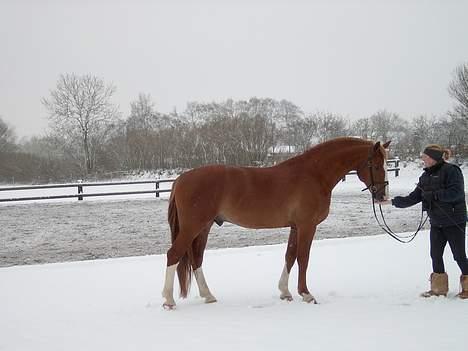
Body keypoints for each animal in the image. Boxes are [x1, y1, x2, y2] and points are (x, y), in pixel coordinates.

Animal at [163, 138, 390, 308]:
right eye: (377, 165)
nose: (383, 197)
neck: (314, 174)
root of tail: (180, 179)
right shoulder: (307, 226)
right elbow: (303, 258)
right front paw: (306, 294)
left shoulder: (295, 226)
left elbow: (290, 256)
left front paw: (285, 292)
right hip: (193, 226)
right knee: (174, 254)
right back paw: (169, 300)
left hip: (204, 227)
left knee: (197, 258)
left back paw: (208, 296)